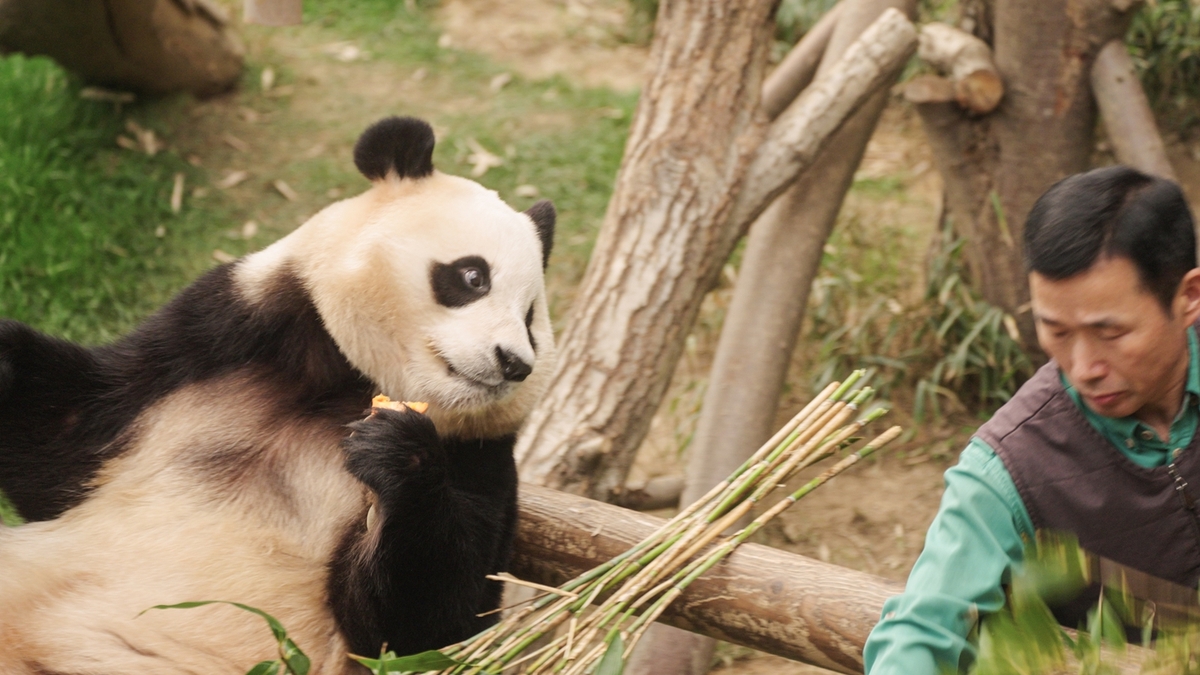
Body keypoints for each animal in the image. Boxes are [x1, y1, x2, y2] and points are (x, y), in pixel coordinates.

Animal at [0, 117, 556, 672]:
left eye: (530, 318)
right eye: (472, 276)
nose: (514, 363)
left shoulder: (478, 453)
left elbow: (431, 627)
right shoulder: (220, 334)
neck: (347, 383)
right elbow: (66, 441)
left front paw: (397, 452)